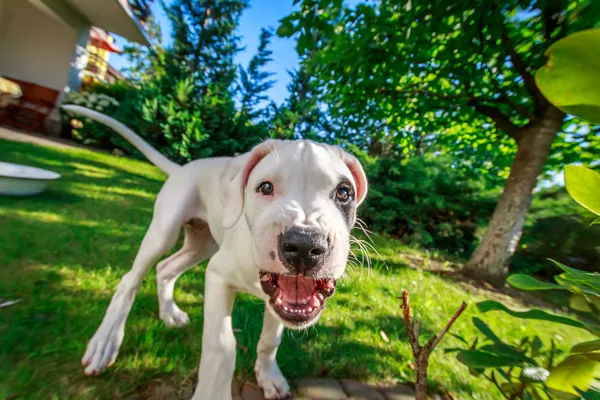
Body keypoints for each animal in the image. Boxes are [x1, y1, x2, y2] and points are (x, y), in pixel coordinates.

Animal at [63, 104, 368, 398]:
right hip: (164, 231)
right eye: (265, 187)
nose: (304, 245)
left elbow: (270, 340)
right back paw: (105, 343)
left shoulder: (280, 303)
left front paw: (269, 377)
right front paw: (213, 391)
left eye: (344, 192)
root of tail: (182, 168)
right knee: (131, 279)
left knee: (166, 268)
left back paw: (169, 313)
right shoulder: (218, 276)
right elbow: (222, 346)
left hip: (201, 244)